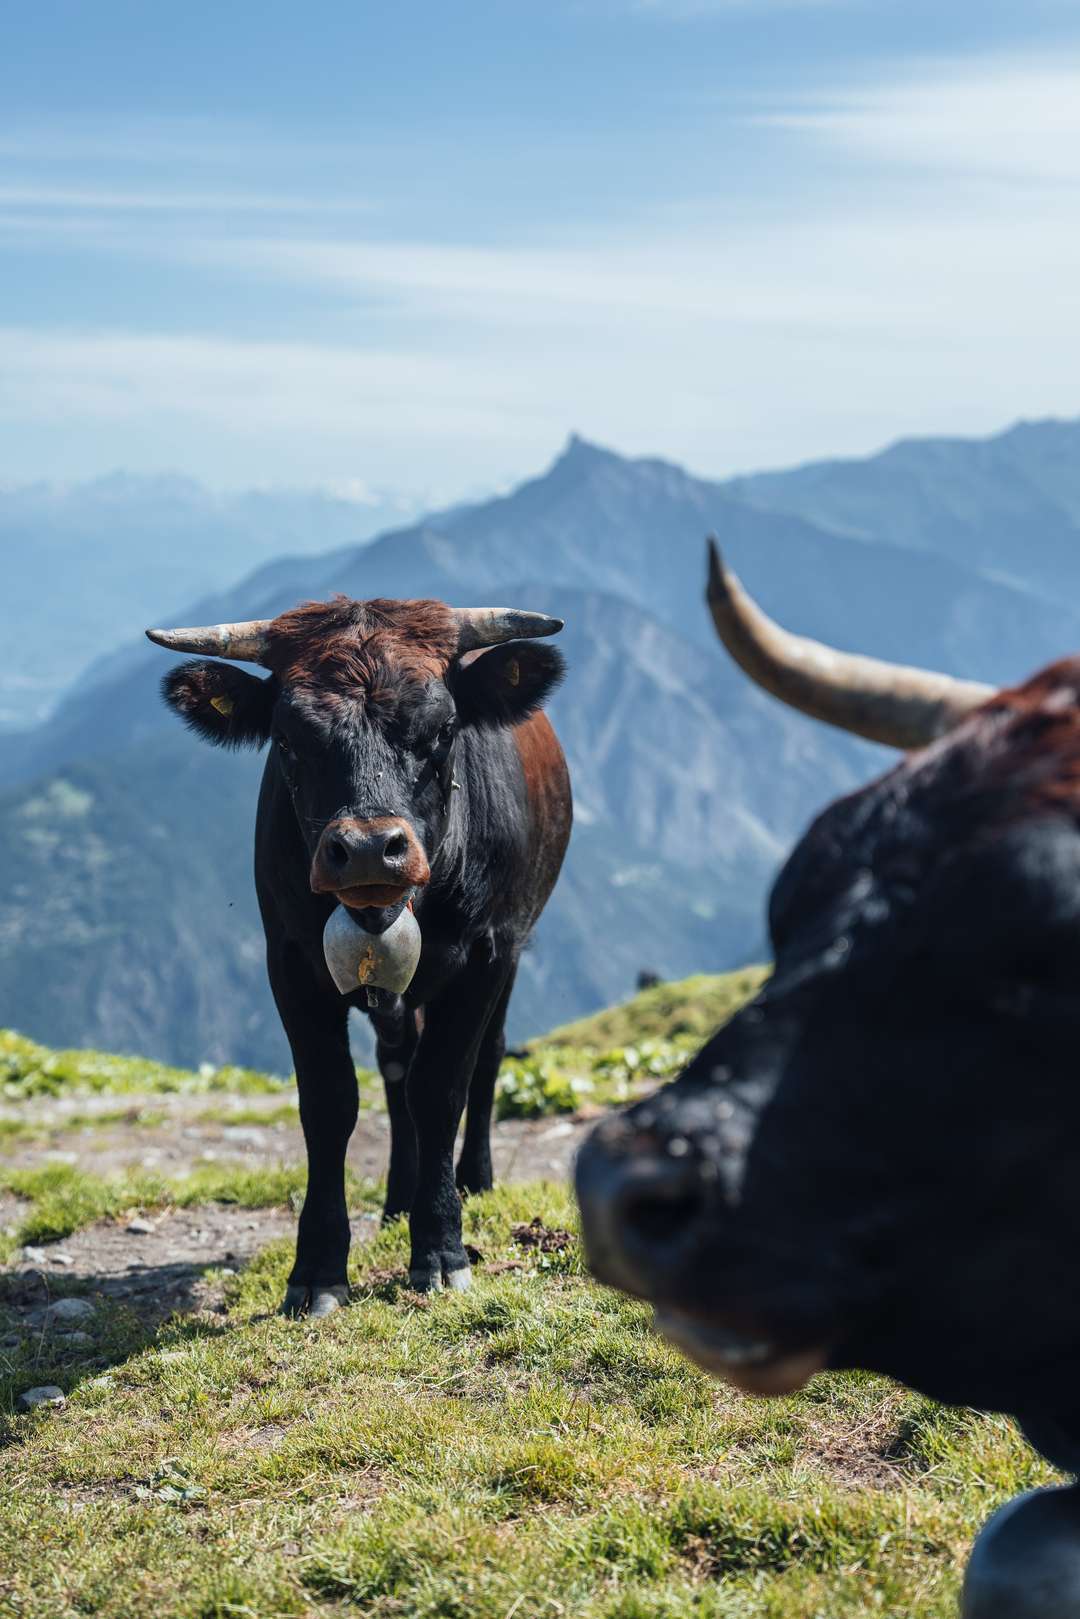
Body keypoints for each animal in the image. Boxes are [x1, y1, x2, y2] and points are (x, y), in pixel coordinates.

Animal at [147, 595, 571, 1311]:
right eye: (288, 740)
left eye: (443, 731)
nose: (371, 849)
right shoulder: (289, 961)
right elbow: (331, 1102)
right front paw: (318, 1268)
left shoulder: (485, 956)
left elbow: (443, 1089)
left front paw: (441, 1250)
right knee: (395, 1070)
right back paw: (399, 1198)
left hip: (515, 946)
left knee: (485, 1058)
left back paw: (473, 1181)